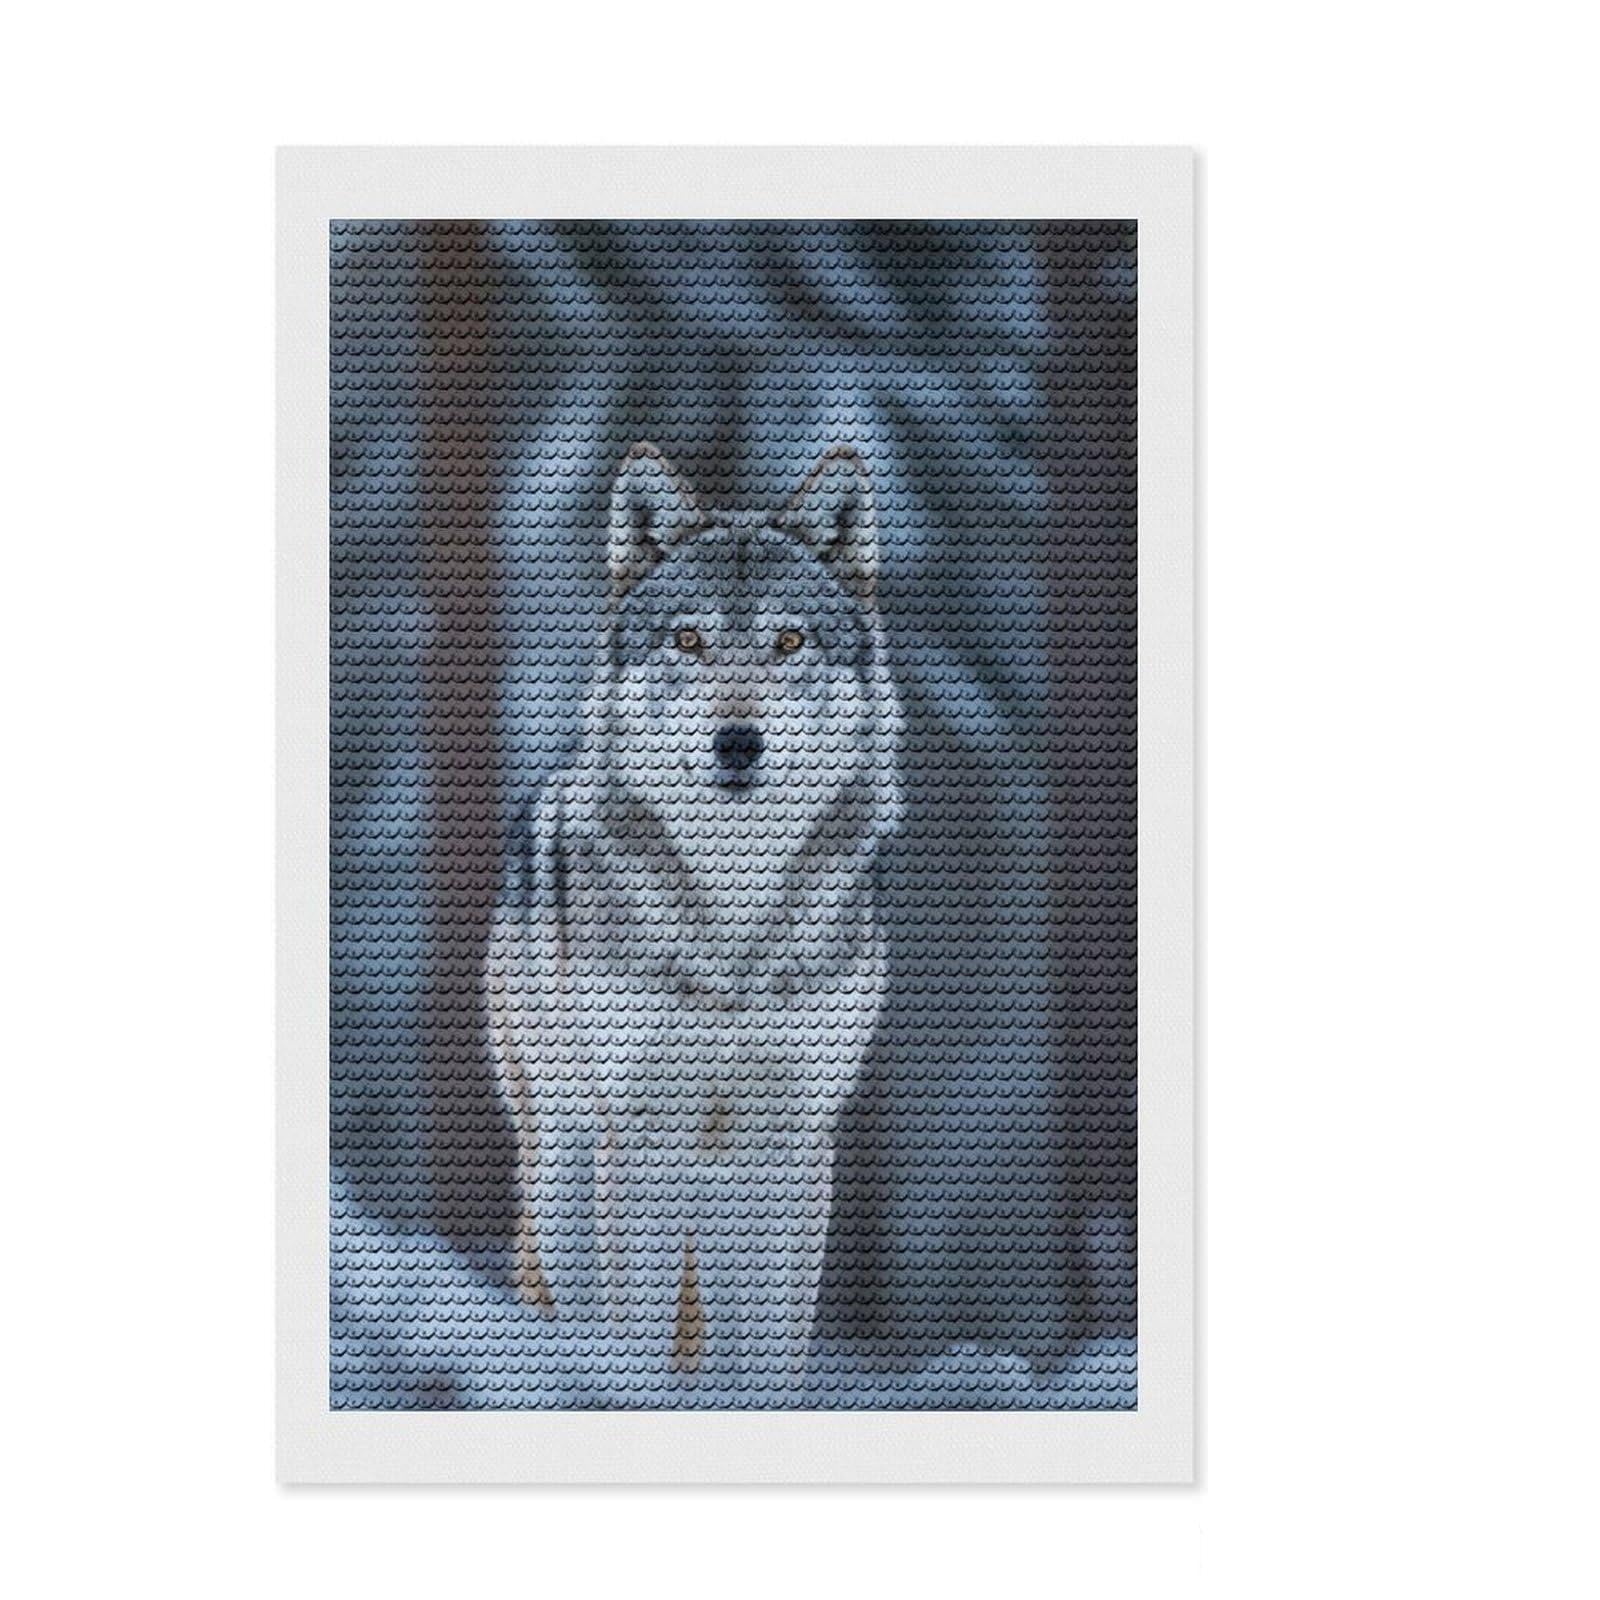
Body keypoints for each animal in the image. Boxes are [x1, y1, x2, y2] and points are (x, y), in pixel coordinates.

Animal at [484, 443, 903, 1380]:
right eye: (688, 638)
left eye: (788, 640)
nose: (738, 742)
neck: (731, 923)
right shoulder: (641, 1141)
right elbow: (633, 1339)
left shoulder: (790, 1152)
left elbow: (771, 1363)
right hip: (566, 1171)